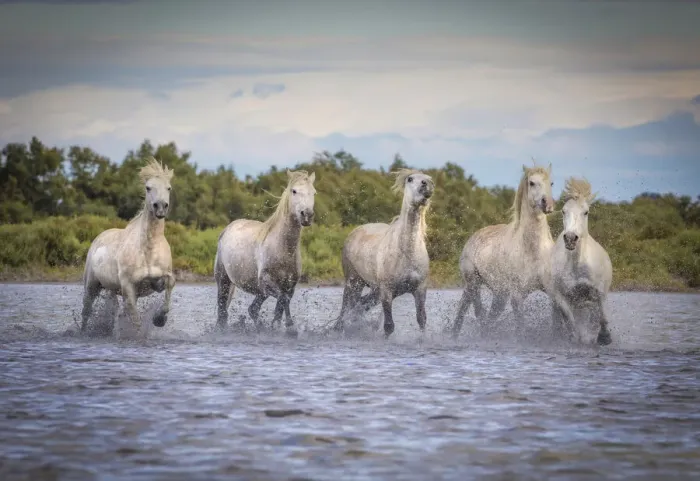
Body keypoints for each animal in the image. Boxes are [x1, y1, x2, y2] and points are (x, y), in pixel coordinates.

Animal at [81, 157, 175, 340]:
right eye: (148, 187)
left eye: (168, 187)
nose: (160, 207)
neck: (147, 250)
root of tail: (98, 238)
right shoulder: (128, 286)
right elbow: (136, 320)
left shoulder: (159, 279)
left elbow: (169, 287)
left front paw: (159, 320)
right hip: (91, 285)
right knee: (86, 311)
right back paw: (81, 333)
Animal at [214, 169, 316, 336]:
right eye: (294, 191)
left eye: (314, 192)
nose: (306, 215)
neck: (282, 249)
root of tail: (228, 228)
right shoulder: (267, 283)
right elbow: (282, 300)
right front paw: (290, 328)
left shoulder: (289, 286)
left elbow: (281, 305)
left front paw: (282, 328)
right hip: (223, 280)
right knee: (223, 311)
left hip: (258, 291)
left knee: (252, 309)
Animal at [333, 168, 434, 339]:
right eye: (410, 179)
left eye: (429, 179)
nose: (426, 186)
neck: (406, 252)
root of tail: (354, 232)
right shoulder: (387, 291)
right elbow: (388, 326)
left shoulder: (419, 289)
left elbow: (421, 319)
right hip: (354, 282)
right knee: (346, 307)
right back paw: (338, 329)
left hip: (374, 290)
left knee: (360, 305)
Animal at [447, 163, 555, 337]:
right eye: (532, 182)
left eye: (551, 183)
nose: (548, 204)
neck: (533, 250)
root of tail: (473, 238)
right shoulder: (517, 296)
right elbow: (521, 328)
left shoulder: (553, 292)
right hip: (473, 283)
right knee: (473, 311)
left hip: (499, 294)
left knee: (482, 315)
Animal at [547, 178, 613, 345]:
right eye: (564, 211)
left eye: (586, 212)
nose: (571, 238)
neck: (576, 265)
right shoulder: (561, 297)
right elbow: (570, 321)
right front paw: (574, 339)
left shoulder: (598, 292)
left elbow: (603, 316)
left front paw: (604, 338)